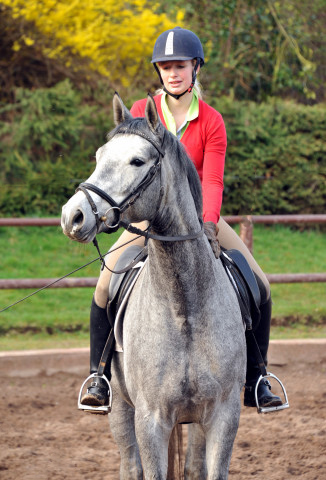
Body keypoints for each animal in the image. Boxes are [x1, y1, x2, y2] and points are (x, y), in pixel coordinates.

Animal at [61, 94, 246, 480]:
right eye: (100, 156)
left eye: (137, 161)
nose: (73, 216)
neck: (184, 306)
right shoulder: (151, 419)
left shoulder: (223, 416)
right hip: (120, 408)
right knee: (131, 466)